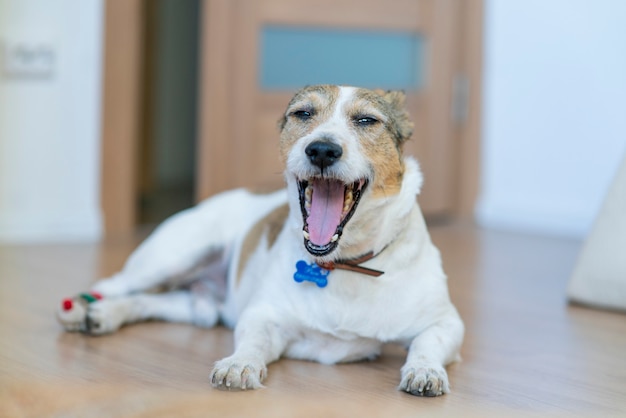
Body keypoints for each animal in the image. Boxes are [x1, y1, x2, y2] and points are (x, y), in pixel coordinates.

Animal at [56, 84, 460, 396]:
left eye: (366, 120)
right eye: (303, 113)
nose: (322, 149)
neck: (345, 264)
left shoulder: (447, 323)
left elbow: (427, 342)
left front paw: (424, 369)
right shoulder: (262, 315)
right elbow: (253, 341)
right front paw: (239, 363)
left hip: (202, 308)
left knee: (150, 301)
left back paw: (105, 315)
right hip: (172, 257)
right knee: (113, 285)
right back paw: (83, 309)